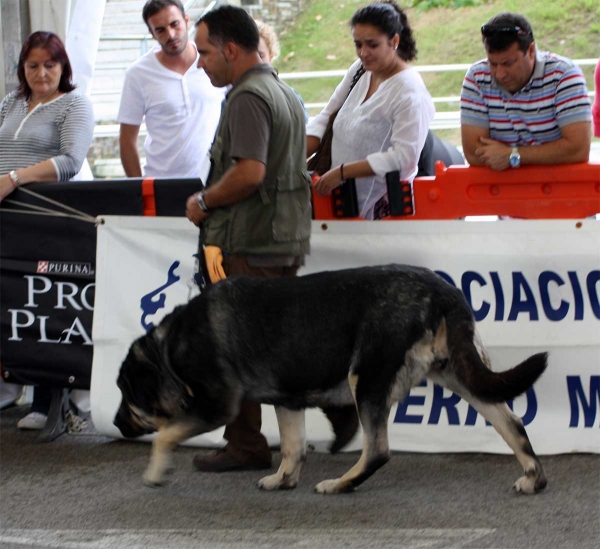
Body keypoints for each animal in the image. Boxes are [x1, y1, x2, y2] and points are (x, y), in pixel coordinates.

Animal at [113, 264, 548, 494]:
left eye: (126, 395)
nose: (116, 423)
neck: (168, 348)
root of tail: (443, 292)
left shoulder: (216, 406)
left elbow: (166, 434)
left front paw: (156, 472)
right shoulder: (287, 401)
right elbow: (293, 448)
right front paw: (283, 480)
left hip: (366, 379)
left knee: (378, 450)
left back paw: (341, 484)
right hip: (463, 377)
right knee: (513, 423)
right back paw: (534, 479)